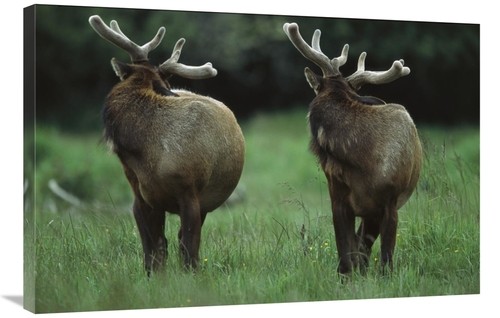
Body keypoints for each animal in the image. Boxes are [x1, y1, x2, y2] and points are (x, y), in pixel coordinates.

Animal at [90, 14, 246, 274]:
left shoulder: (190, 192)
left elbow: (189, 247)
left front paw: (190, 276)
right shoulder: (140, 197)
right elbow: (152, 250)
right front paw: (154, 277)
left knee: (183, 239)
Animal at [284, 22, 420, 278]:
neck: (362, 160)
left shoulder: (390, 202)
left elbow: (385, 260)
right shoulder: (338, 198)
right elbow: (345, 257)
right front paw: (347, 278)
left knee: (365, 245)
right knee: (359, 246)